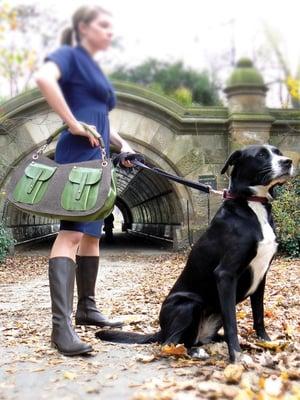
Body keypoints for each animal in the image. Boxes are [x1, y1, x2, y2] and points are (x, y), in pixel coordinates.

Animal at [96, 144, 292, 362]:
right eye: (261, 155)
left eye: (278, 152)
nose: (288, 162)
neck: (252, 205)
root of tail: (162, 330)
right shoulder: (226, 274)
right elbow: (232, 322)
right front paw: (237, 357)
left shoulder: (261, 276)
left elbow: (259, 315)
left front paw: (266, 342)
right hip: (189, 304)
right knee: (169, 344)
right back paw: (194, 351)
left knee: (194, 339)